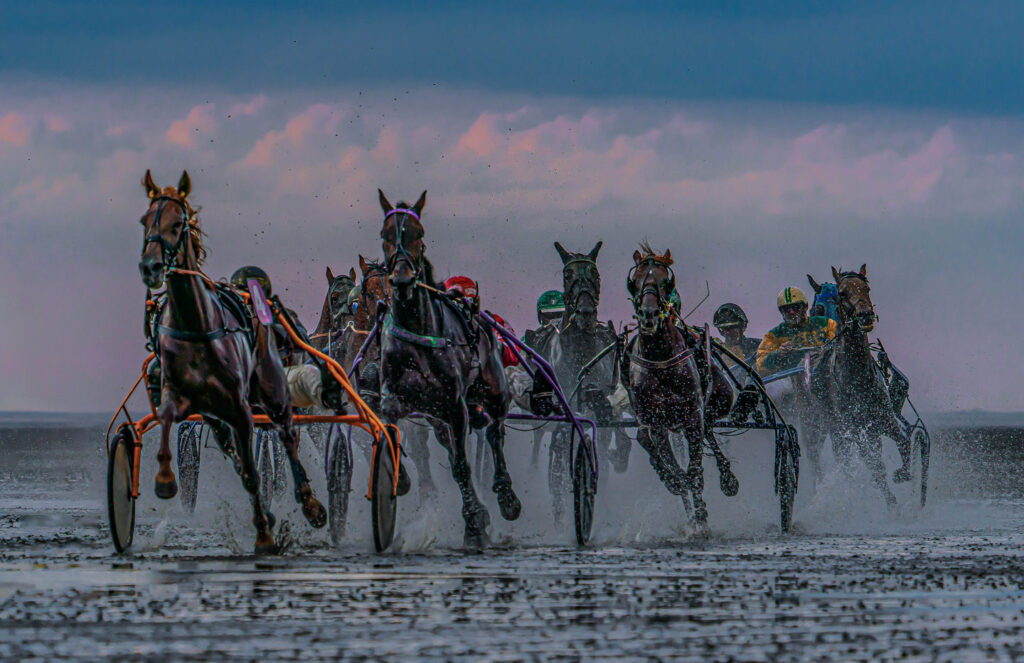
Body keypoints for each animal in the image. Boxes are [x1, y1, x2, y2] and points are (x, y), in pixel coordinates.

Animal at [137, 170, 325, 553]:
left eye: (178, 223)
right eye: (144, 220)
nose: (150, 267)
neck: (197, 327)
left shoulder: (239, 408)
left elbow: (253, 473)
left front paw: (265, 535)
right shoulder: (187, 399)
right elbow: (166, 418)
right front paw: (164, 479)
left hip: (271, 389)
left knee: (287, 435)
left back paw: (310, 504)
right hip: (217, 418)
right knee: (238, 452)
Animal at [376, 189, 518, 546]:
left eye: (419, 234)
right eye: (385, 235)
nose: (401, 281)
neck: (418, 331)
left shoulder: (455, 406)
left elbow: (461, 466)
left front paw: (474, 525)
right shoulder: (395, 398)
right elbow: (390, 427)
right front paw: (399, 479)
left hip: (494, 388)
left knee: (495, 431)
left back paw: (506, 496)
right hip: (434, 413)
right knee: (455, 441)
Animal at [620, 245, 738, 526]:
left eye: (666, 281)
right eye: (635, 281)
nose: (649, 315)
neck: (660, 357)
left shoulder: (693, 413)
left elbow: (695, 466)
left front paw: (701, 510)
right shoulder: (652, 417)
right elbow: (653, 445)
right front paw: (674, 481)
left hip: (717, 398)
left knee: (709, 435)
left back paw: (726, 480)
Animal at [812, 265, 913, 507]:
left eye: (866, 288)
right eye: (842, 293)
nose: (865, 315)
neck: (858, 379)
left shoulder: (883, 420)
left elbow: (903, 442)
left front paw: (902, 474)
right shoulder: (853, 429)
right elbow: (873, 467)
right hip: (836, 432)